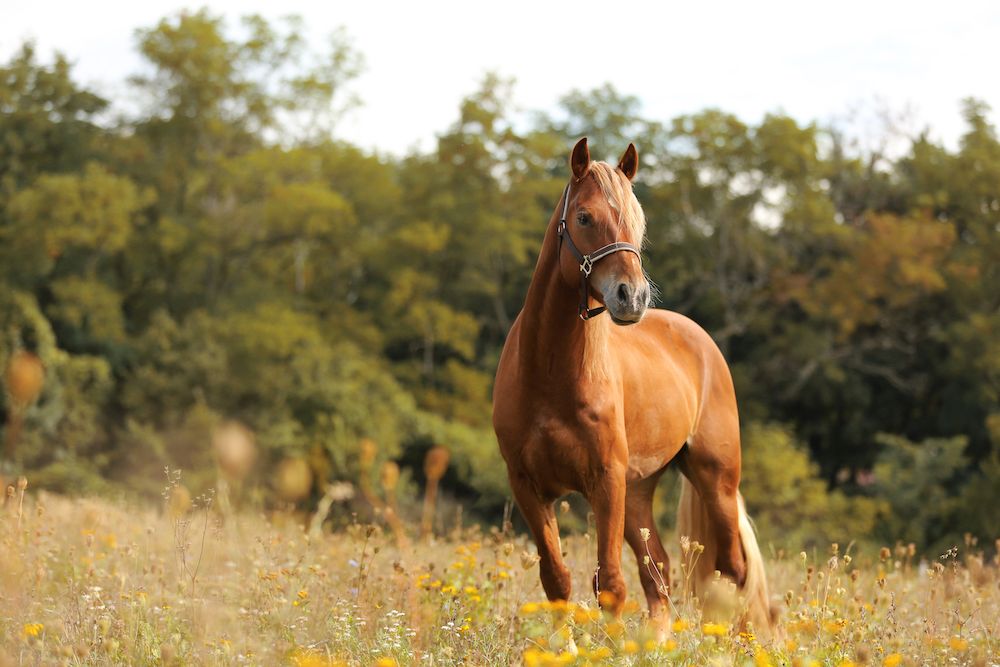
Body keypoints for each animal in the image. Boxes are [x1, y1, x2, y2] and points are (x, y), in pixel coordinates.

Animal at [492, 138, 772, 640]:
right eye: (584, 217)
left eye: (638, 223)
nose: (633, 297)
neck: (548, 376)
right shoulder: (529, 486)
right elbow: (557, 579)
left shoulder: (605, 481)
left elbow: (610, 584)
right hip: (638, 492)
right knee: (658, 573)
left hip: (715, 478)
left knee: (732, 570)